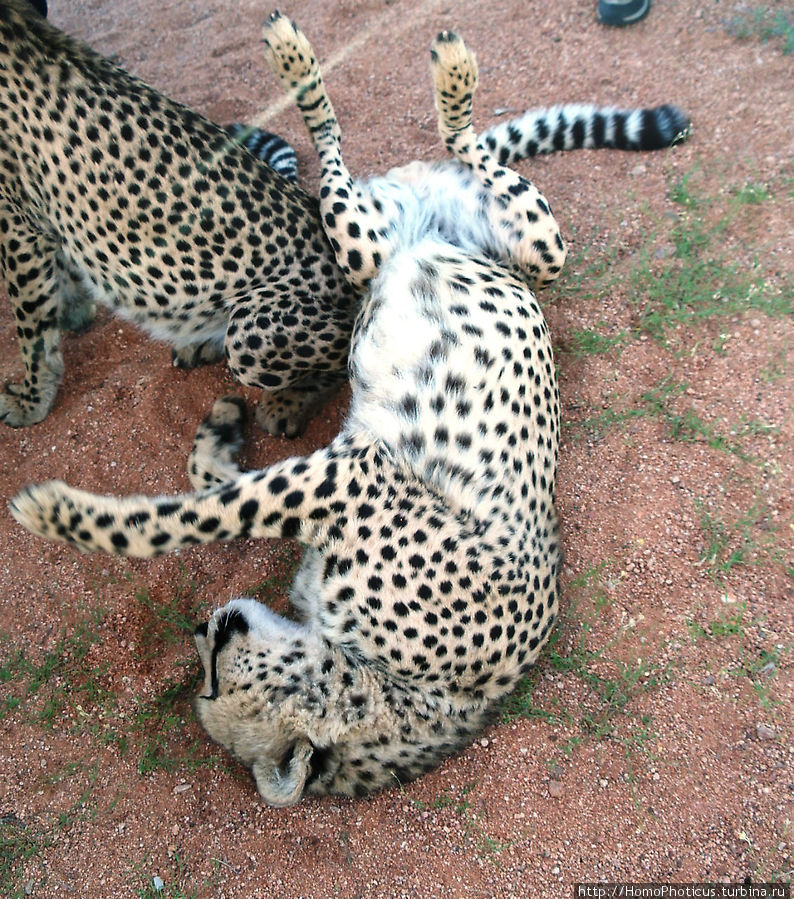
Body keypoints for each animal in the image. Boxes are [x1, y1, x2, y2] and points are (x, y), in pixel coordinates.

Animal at [9, 17, 688, 804]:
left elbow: (178, 520)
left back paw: (404, 67)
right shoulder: (341, 473)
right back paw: (337, 58)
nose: (206, 625)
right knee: (366, 155)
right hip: (390, 244)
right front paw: (222, 428)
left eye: (208, 681)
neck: (399, 693)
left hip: (471, 243)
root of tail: (443, 228)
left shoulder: (349, 477)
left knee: (440, 143)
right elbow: (209, 485)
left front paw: (54, 513)